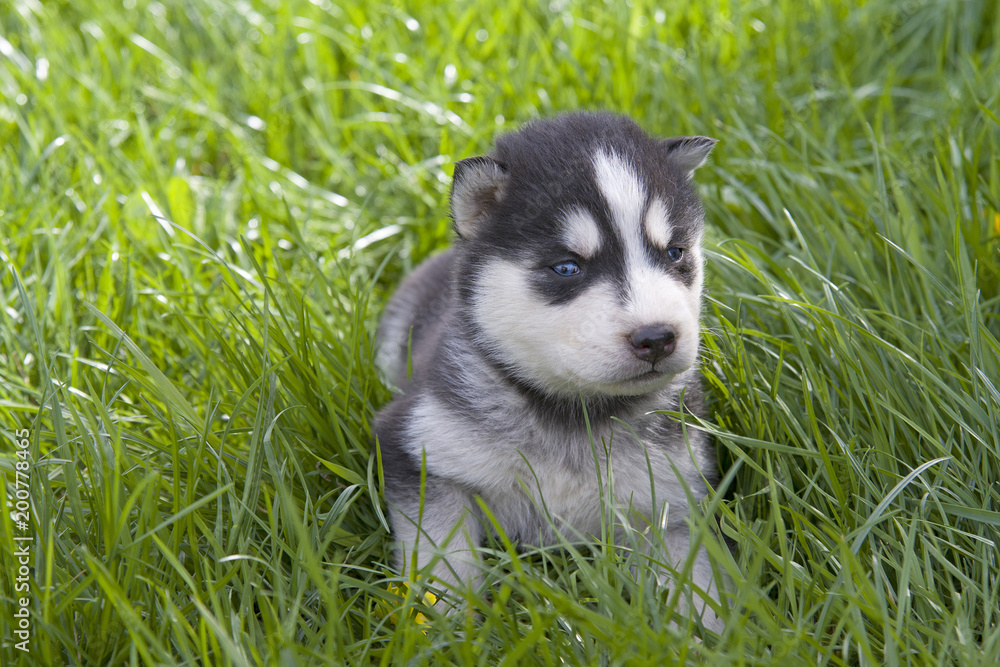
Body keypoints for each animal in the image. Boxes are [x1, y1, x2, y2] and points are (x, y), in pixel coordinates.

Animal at [376, 112, 720, 628]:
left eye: (674, 253)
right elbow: (445, 560)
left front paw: (703, 633)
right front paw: (449, 627)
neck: (573, 414)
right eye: (567, 267)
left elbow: (696, 588)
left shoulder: (675, 498)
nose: (657, 337)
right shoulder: (416, 448)